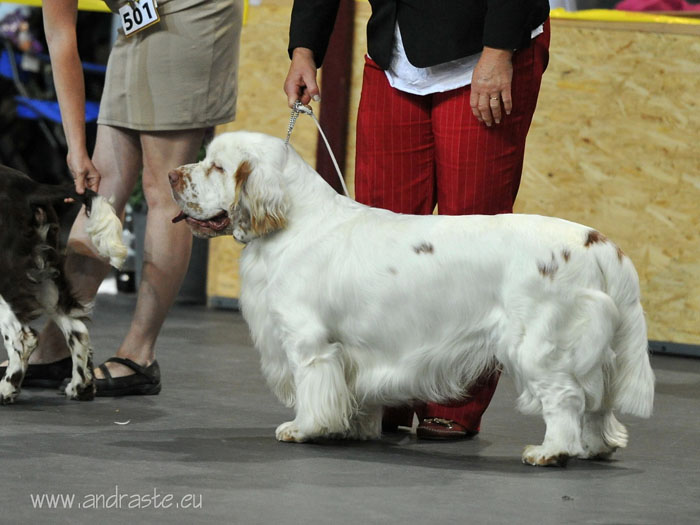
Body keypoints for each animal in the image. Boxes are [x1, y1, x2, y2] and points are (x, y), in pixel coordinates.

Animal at [0, 166, 126, 404]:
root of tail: (31, 187)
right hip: (47, 273)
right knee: (77, 330)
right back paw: (80, 386)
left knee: (22, 337)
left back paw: (6, 388)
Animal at [167, 132, 652, 466]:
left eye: (216, 167)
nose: (171, 175)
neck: (293, 223)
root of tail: (597, 242)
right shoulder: (355, 351)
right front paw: (355, 429)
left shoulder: (309, 343)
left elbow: (311, 390)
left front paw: (303, 428)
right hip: (593, 353)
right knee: (597, 403)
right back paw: (594, 447)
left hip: (537, 347)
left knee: (566, 398)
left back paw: (551, 451)